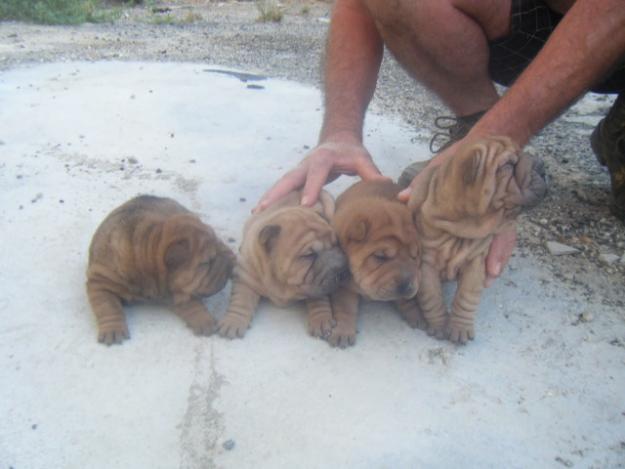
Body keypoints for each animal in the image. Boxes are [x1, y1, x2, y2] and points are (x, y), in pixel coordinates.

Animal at [85, 194, 234, 344]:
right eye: (206, 262)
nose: (230, 263)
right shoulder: (100, 281)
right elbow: (108, 306)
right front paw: (113, 330)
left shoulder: (175, 289)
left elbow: (192, 303)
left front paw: (204, 320)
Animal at [217, 190, 348, 340]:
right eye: (309, 255)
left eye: (336, 244)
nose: (341, 269)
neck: (281, 283)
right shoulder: (245, 277)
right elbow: (241, 300)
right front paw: (233, 322)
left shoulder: (318, 285)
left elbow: (319, 299)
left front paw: (321, 319)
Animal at [330, 179, 422, 348]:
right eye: (380, 257)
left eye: (414, 256)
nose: (406, 284)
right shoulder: (342, 285)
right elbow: (345, 308)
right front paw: (343, 332)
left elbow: (406, 300)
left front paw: (415, 313)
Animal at [408, 135, 544, 344]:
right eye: (508, 165)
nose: (542, 165)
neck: (459, 228)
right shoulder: (427, 264)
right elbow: (432, 296)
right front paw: (439, 325)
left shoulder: (475, 262)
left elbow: (467, 295)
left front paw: (460, 328)